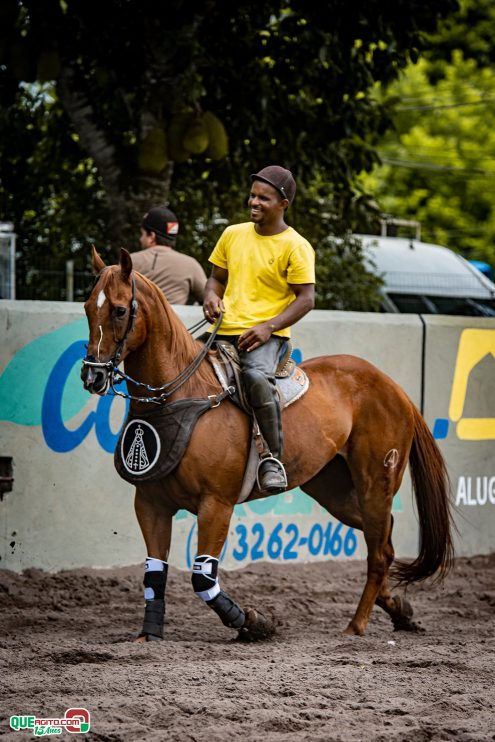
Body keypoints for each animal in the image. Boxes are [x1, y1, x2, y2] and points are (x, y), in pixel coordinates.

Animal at [80, 250, 454, 644]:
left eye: (120, 310)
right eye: (88, 307)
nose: (92, 375)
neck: (184, 395)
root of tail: (393, 387)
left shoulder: (217, 505)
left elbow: (203, 578)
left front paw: (253, 622)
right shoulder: (151, 504)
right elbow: (154, 571)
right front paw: (148, 634)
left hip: (375, 484)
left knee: (379, 553)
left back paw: (356, 625)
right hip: (334, 491)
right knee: (383, 541)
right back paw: (399, 609)